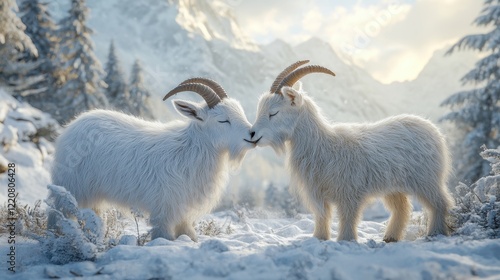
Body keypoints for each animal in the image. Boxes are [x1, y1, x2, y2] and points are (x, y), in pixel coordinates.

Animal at [48, 79, 256, 241]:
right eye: (223, 120)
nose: (252, 134)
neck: (190, 148)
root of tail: (71, 127)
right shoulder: (165, 210)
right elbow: (165, 236)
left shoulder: (182, 213)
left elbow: (189, 235)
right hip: (71, 188)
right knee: (56, 214)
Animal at [250, 61, 454, 243]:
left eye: (274, 112)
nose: (252, 134)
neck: (322, 144)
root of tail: (433, 130)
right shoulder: (318, 194)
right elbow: (322, 215)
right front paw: (319, 238)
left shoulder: (349, 192)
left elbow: (348, 217)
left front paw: (345, 240)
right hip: (394, 187)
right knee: (402, 208)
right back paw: (390, 237)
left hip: (426, 180)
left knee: (440, 202)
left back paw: (435, 233)